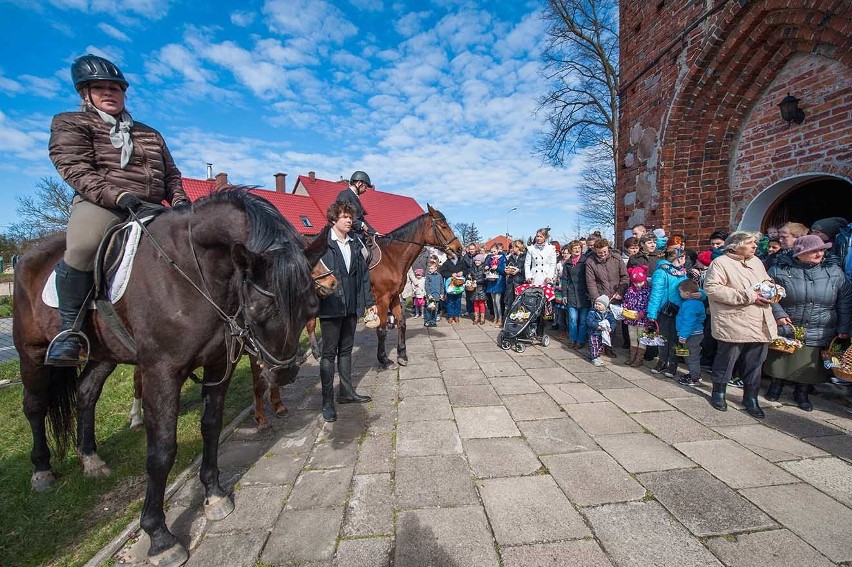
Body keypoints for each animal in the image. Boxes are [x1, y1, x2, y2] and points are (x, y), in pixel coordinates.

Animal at [13, 189, 326, 564]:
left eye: (310, 308)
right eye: (257, 310)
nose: (284, 373)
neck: (191, 274)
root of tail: (29, 253)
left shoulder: (218, 363)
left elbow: (211, 426)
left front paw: (215, 495)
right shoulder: (160, 372)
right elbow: (161, 451)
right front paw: (160, 537)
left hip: (104, 354)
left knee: (86, 393)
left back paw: (90, 458)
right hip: (31, 351)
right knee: (34, 406)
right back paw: (41, 470)